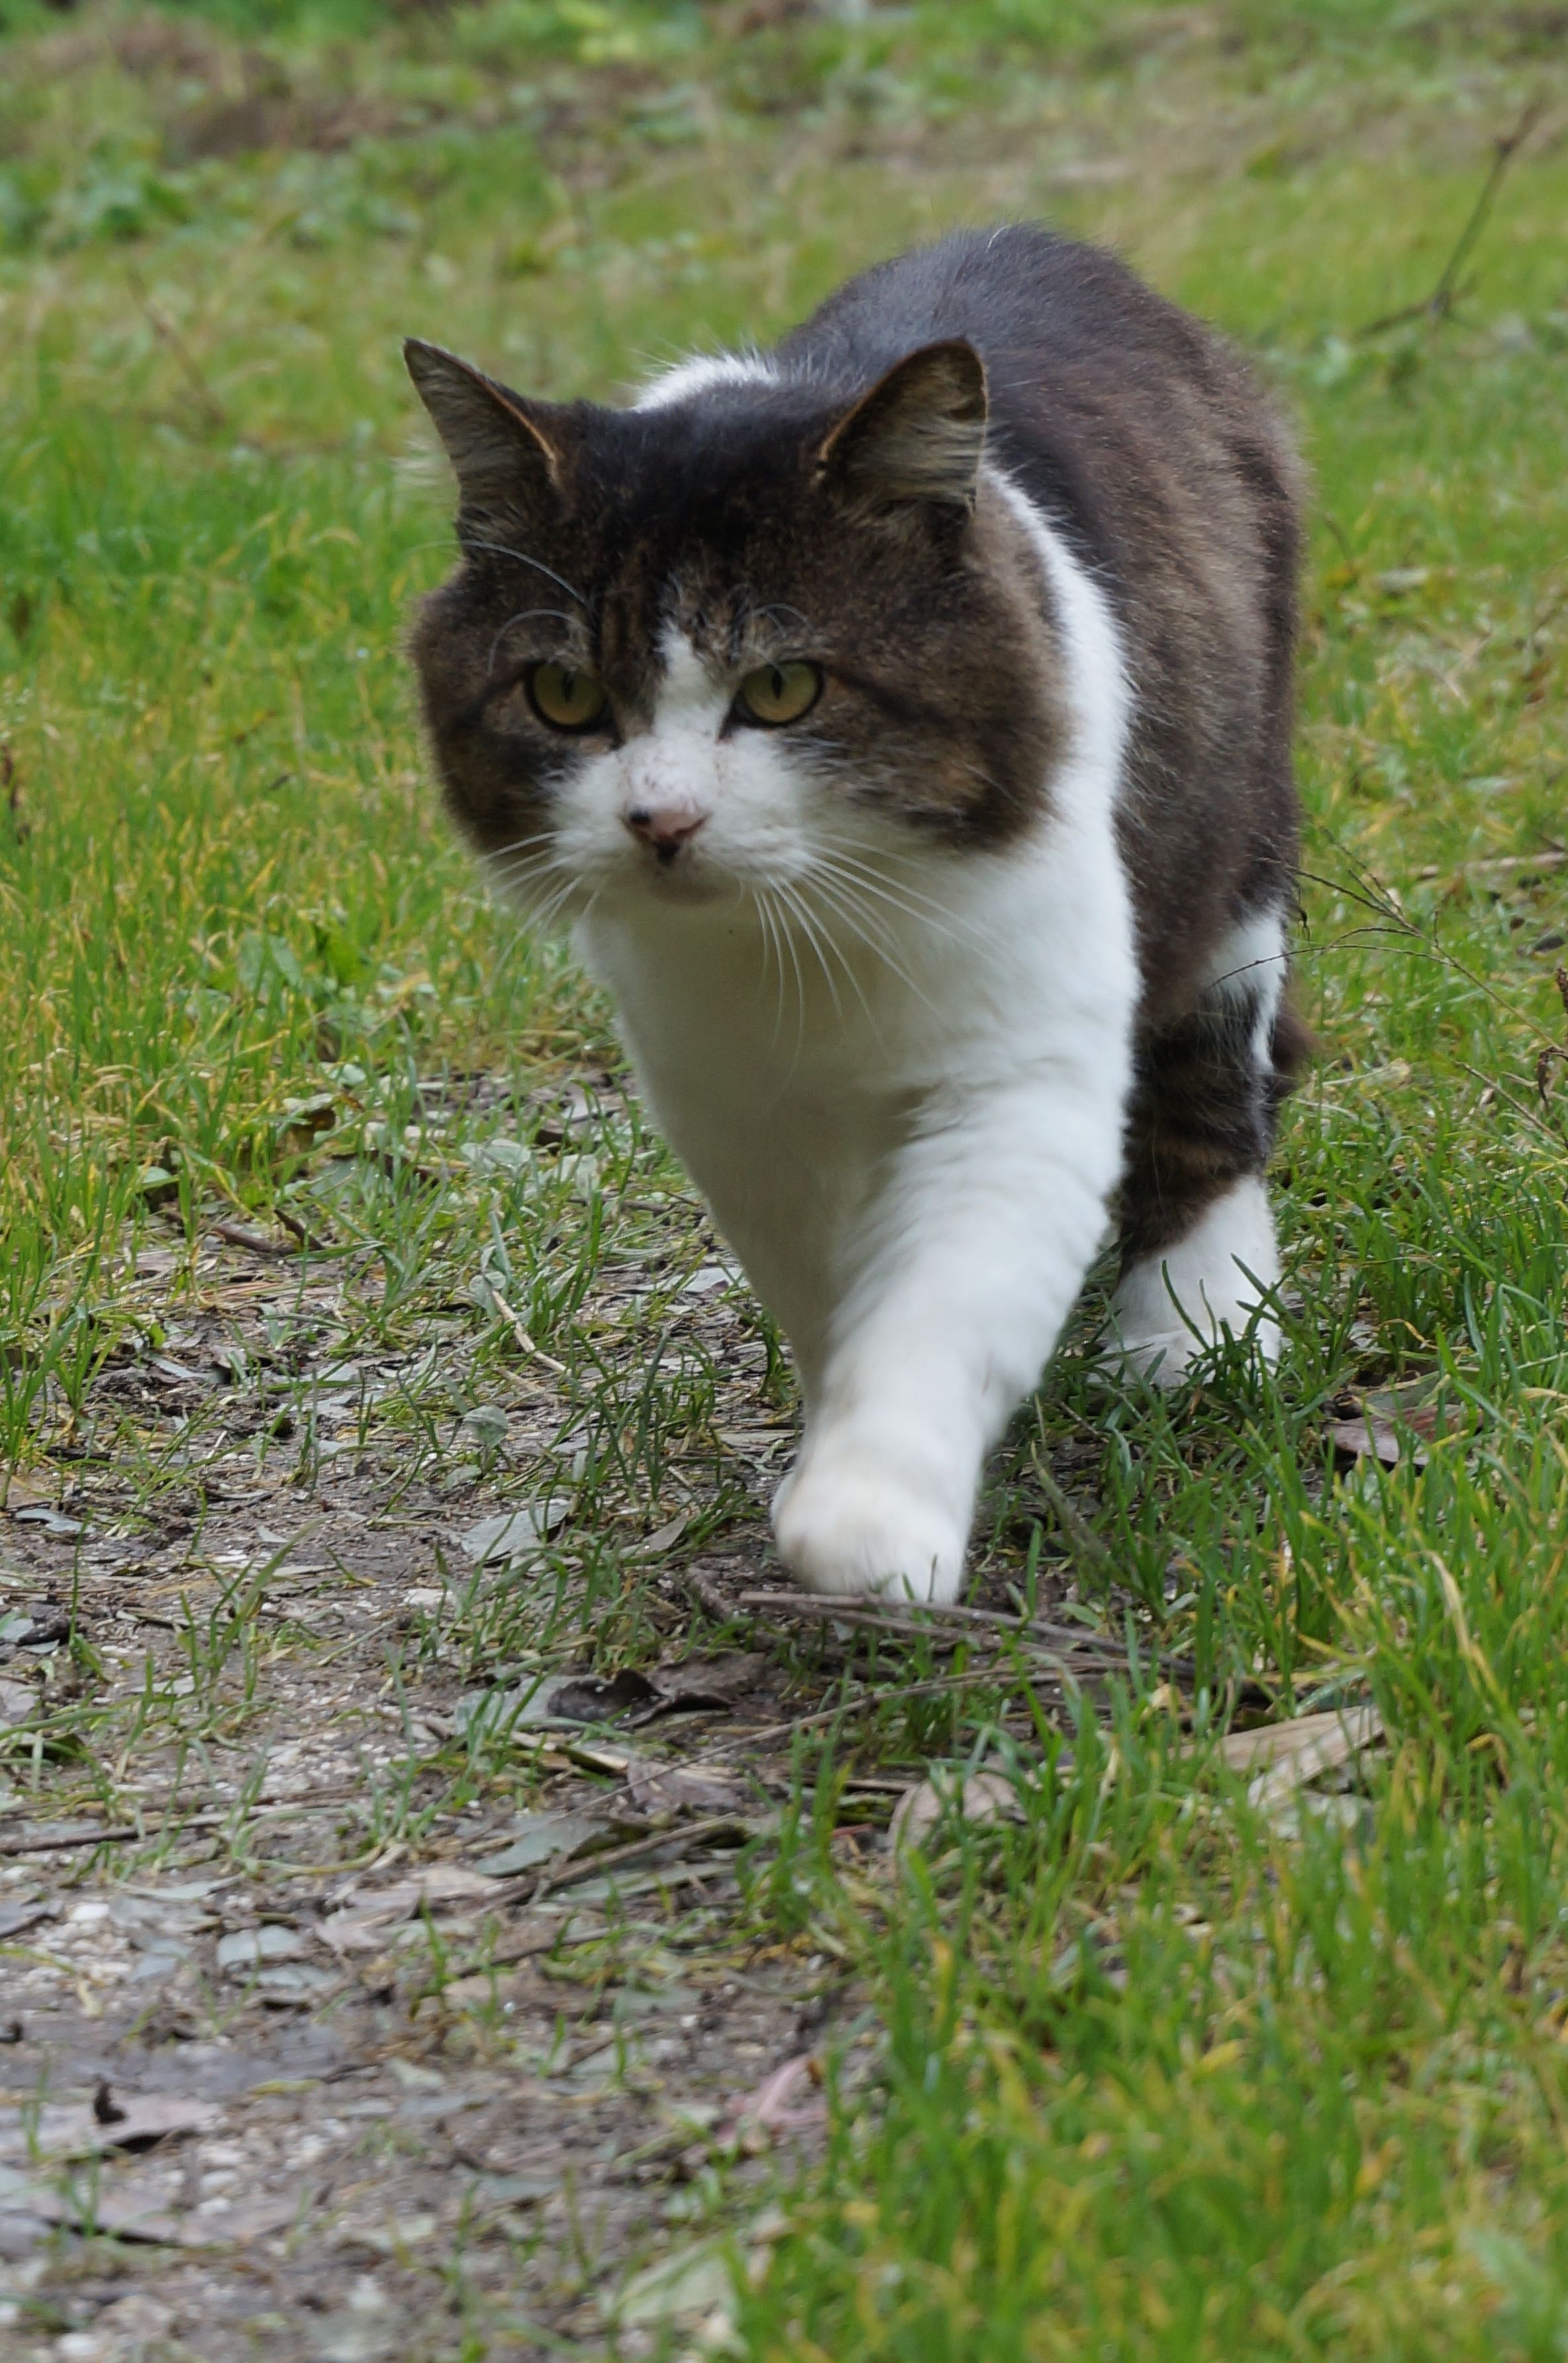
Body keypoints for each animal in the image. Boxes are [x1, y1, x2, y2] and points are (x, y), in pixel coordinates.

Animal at [404, 223, 1305, 1605]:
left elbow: (942, 1293)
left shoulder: (1018, 1069)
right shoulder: (730, 1108)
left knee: (1214, 1070)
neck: (807, 938)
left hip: (1234, 827)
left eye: (783, 687)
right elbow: (830, 1286)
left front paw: (871, 1515)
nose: (660, 818)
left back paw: (1193, 1325)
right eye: (562, 695)